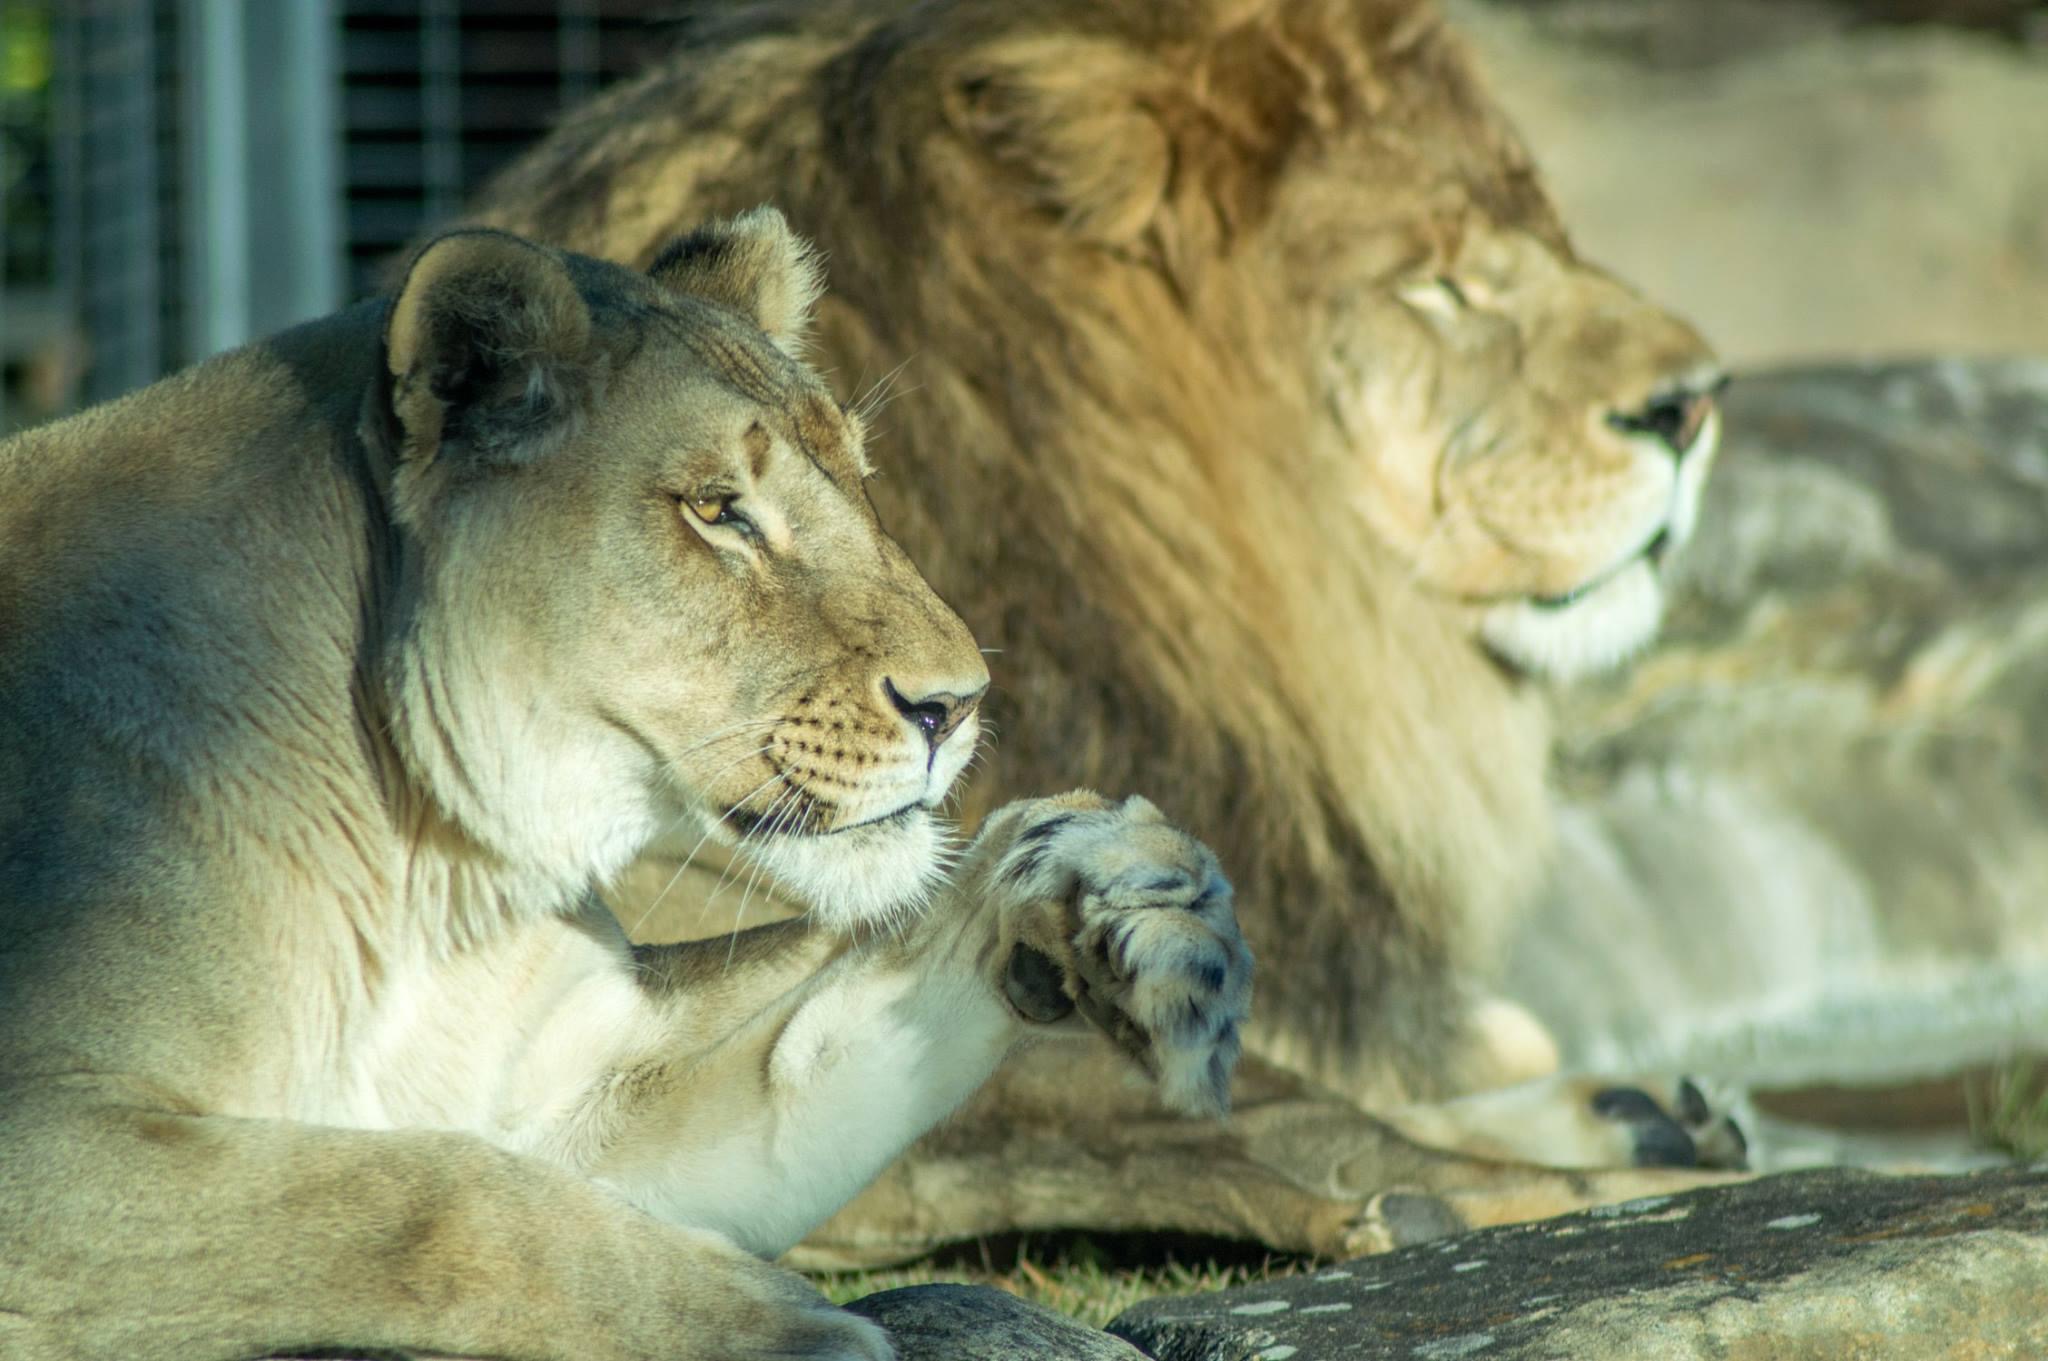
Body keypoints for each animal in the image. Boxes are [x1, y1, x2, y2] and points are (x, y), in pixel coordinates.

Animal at [0, 206, 1245, 1350]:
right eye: (717, 510)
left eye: (860, 483)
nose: (960, 701)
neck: (426, 874)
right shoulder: (45, 1139)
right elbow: (440, 1198)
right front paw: (787, 1324)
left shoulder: (586, 1090)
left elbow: (832, 1015)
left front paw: (1119, 891)